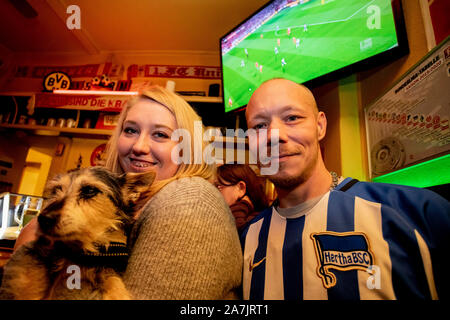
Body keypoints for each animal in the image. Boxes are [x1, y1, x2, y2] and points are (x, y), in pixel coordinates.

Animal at [0, 166, 155, 298]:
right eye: (56, 190)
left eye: (90, 190)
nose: (43, 219)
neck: (76, 251)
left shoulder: (106, 265)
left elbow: (112, 278)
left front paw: (119, 294)